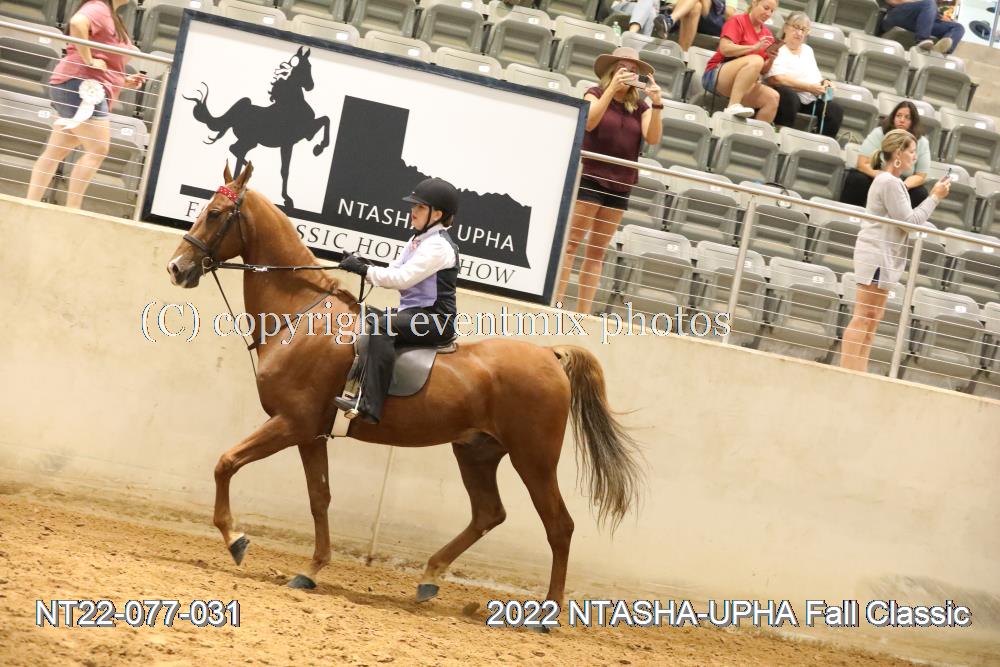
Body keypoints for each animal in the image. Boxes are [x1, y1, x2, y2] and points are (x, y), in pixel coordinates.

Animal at [165, 162, 642, 607]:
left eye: (215, 213)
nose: (176, 268)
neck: (301, 315)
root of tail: (549, 356)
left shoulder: (291, 423)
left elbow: (226, 463)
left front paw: (235, 540)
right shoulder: (310, 433)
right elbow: (320, 496)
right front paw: (312, 569)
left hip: (535, 459)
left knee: (559, 525)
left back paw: (548, 611)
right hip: (477, 451)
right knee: (489, 513)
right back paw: (430, 576)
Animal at [182, 46, 330, 209]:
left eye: (309, 66)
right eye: (303, 67)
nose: (310, 86)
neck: (290, 105)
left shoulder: (304, 134)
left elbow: (325, 120)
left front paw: (318, 148)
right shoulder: (291, 141)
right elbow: (285, 170)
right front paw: (287, 199)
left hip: (250, 142)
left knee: (236, 150)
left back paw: (239, 178)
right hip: (250, 141)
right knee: (236, 149)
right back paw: (242, 177)